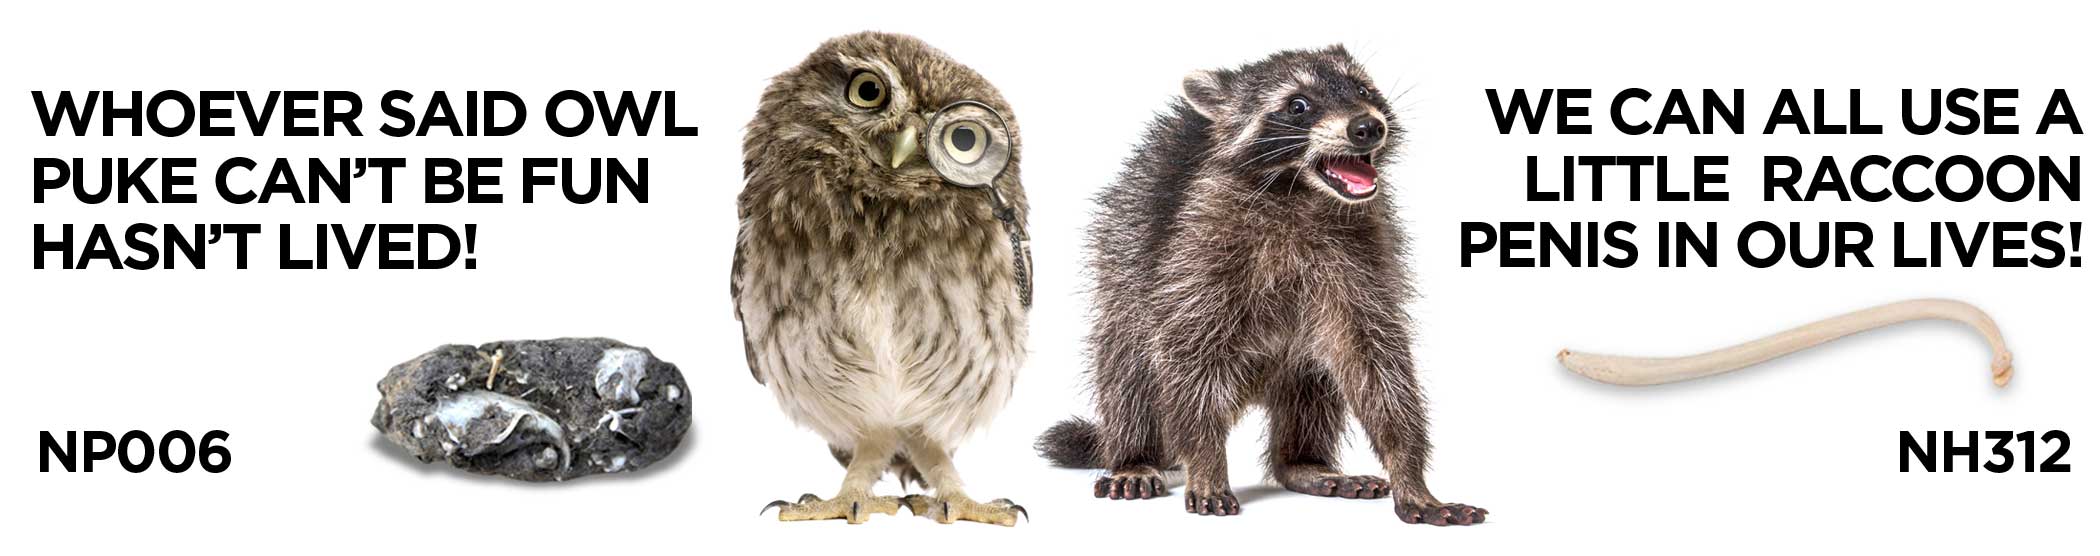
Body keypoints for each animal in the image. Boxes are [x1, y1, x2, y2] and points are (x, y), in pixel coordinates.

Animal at [1035, 46, 1485, 525]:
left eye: (1363, 90)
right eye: (1297, 106)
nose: (1367, 127)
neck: (1298, 191)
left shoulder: (1363, 249)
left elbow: (1376, 358)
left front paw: (1410, 471)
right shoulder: (1196, 244)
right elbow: (1189, 352)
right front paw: (1206, 459)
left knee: (1313, 382)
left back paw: (1303, 461)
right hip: (1121, 283)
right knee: (1128, 368)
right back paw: (1134, 455)